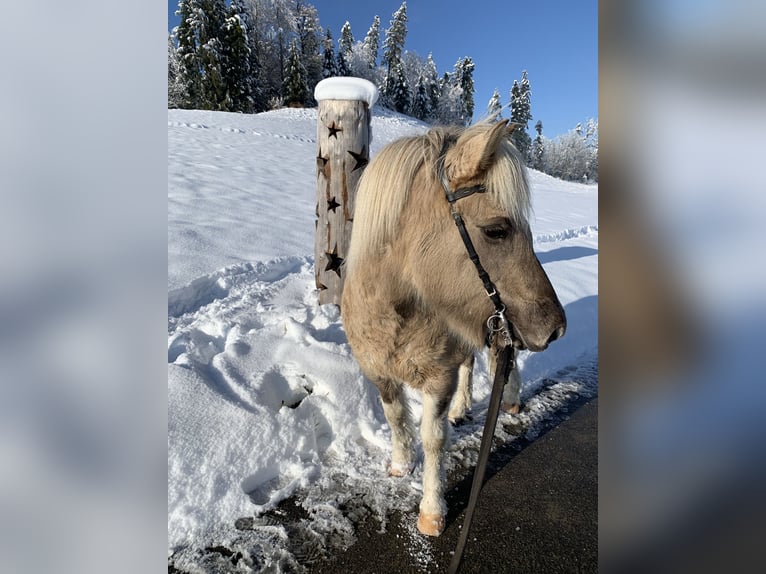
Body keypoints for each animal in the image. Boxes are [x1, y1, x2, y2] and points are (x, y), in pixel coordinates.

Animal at [340, 119, 564, 536]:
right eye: (496, 230)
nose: (556, 327)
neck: (395, 310)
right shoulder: (380, 373)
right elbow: (396, 418)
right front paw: (400, 464)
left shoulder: (438, 379)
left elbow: (433, 439)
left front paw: (431, 511)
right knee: (470, 363)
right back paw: (463, 408)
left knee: (498, 362)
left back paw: (509, 398)